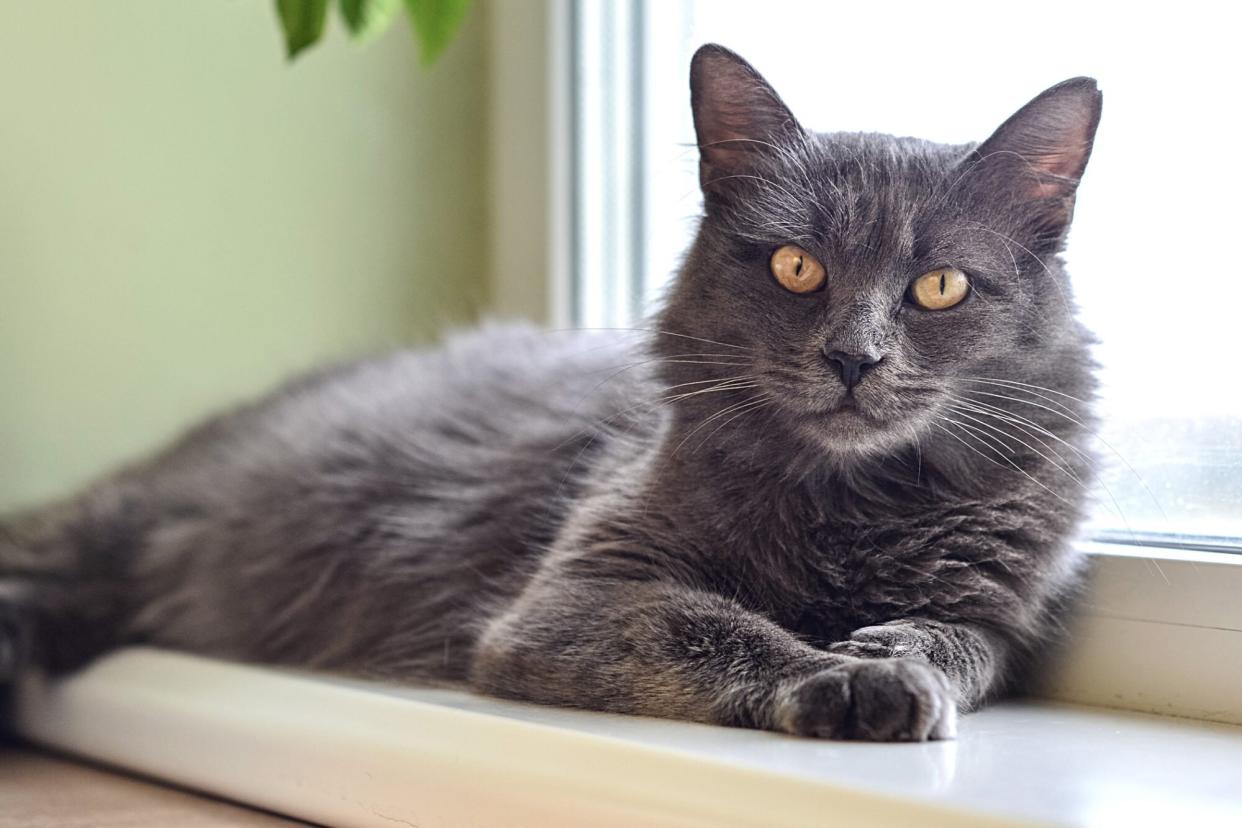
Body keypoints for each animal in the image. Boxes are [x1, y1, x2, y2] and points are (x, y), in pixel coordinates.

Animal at [2, 45, 1107, 739]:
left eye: (939, 286)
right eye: (797, 269)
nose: (855, 358)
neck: (851, 510)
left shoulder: (998, 610)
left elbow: (961, 642)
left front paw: (894, 653)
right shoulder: (579, 594)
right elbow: (731, 629)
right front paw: (848, 674)